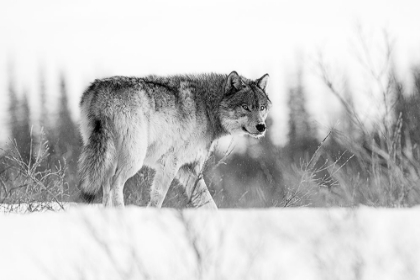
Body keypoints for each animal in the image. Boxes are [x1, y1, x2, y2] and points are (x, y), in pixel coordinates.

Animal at [77, 71, 270, 209]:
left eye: (262, 107)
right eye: (245, 107)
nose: (262, 127)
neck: (207, 110)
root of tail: (100, 89)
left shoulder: (189, 168)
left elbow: (209, 203)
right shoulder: (170, 163)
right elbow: (158, 197)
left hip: (108, 158)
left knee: (106, 186)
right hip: (133, 160)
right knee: (114, 184)